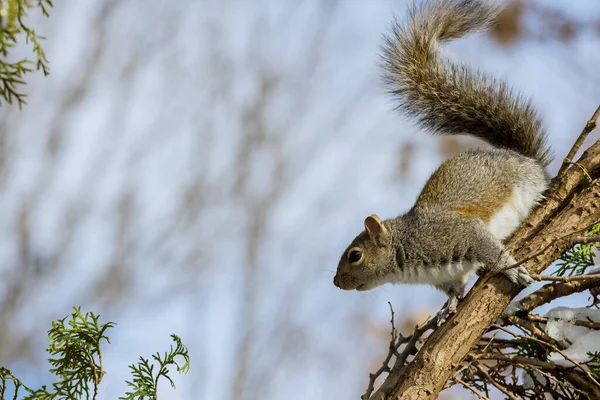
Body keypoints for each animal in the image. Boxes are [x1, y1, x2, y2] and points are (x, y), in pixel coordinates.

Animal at [332, 0, 552, 318]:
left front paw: (512, 269)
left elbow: (489, 250)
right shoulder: (449, 274)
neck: (406, 256)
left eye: (355, 255)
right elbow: (455, 288)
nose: (336, 282)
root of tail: (521, 156)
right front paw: (448, 307)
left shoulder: (459, 234)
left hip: (523, 182)